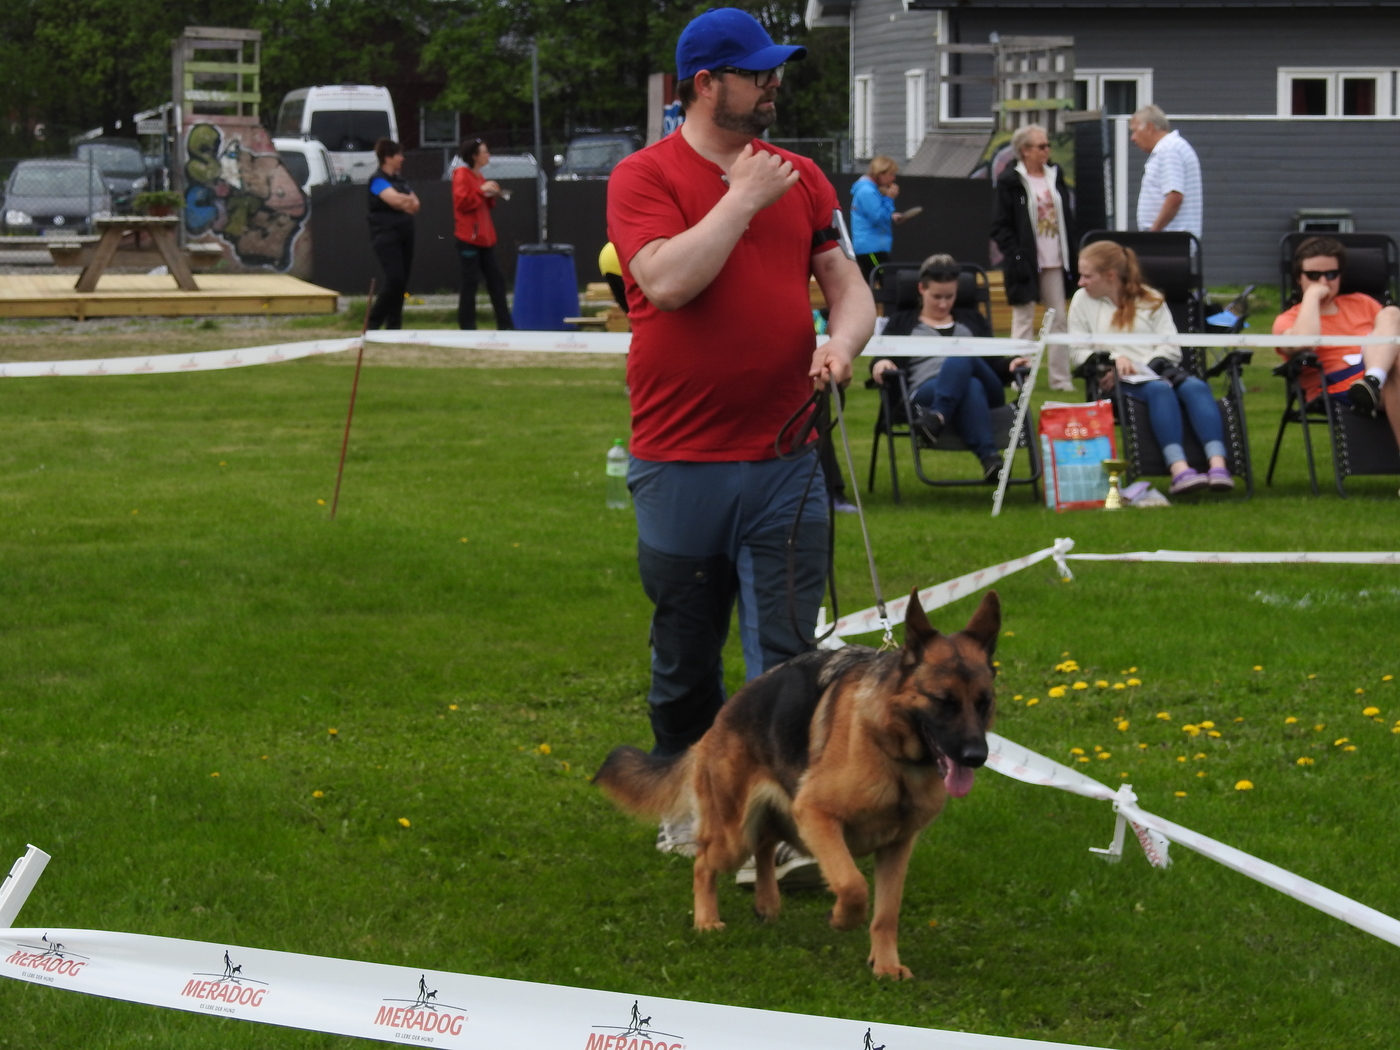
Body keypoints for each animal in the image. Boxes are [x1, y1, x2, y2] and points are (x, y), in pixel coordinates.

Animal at [594, 589, 999, 980]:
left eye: (983, 703)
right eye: (943, 701)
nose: (976, 756)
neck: (892, 753)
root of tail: (719, 719)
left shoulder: (897, 847)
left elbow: (886, 913)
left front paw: (885, 965)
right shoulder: (818, 815)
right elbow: (853, 886)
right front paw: (841, 919)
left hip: (778, 822)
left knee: (765, 844)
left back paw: (766, 903)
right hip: (735, 834)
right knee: (705, 863)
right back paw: (707, 920)